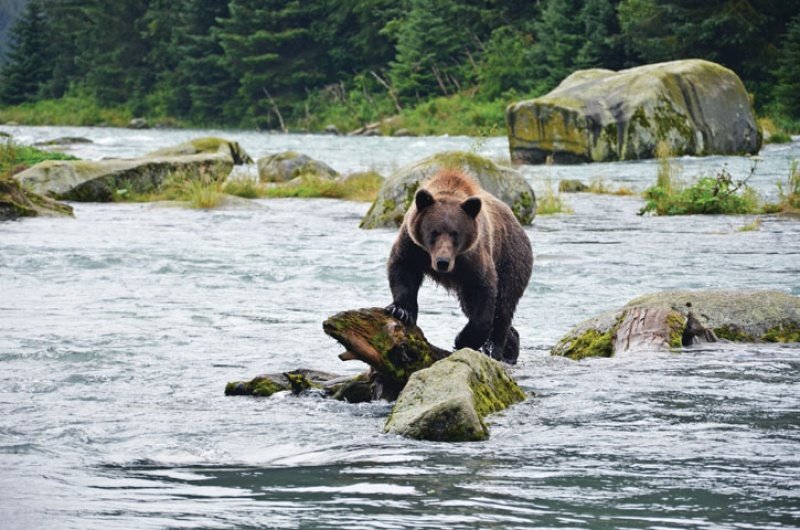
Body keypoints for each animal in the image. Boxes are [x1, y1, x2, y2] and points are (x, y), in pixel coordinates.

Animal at [386, 168, 536, 364]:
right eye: (433, 232)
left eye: (455, 234)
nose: (442, 262)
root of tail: (518, 223)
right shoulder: (413, 245)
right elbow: (403, 269)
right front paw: (401, 310)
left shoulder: (474, 258)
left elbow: (484, 292)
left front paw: (462, 340)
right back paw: (510, 349)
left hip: (511, 258)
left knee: (504, 305)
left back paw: (496, 350)